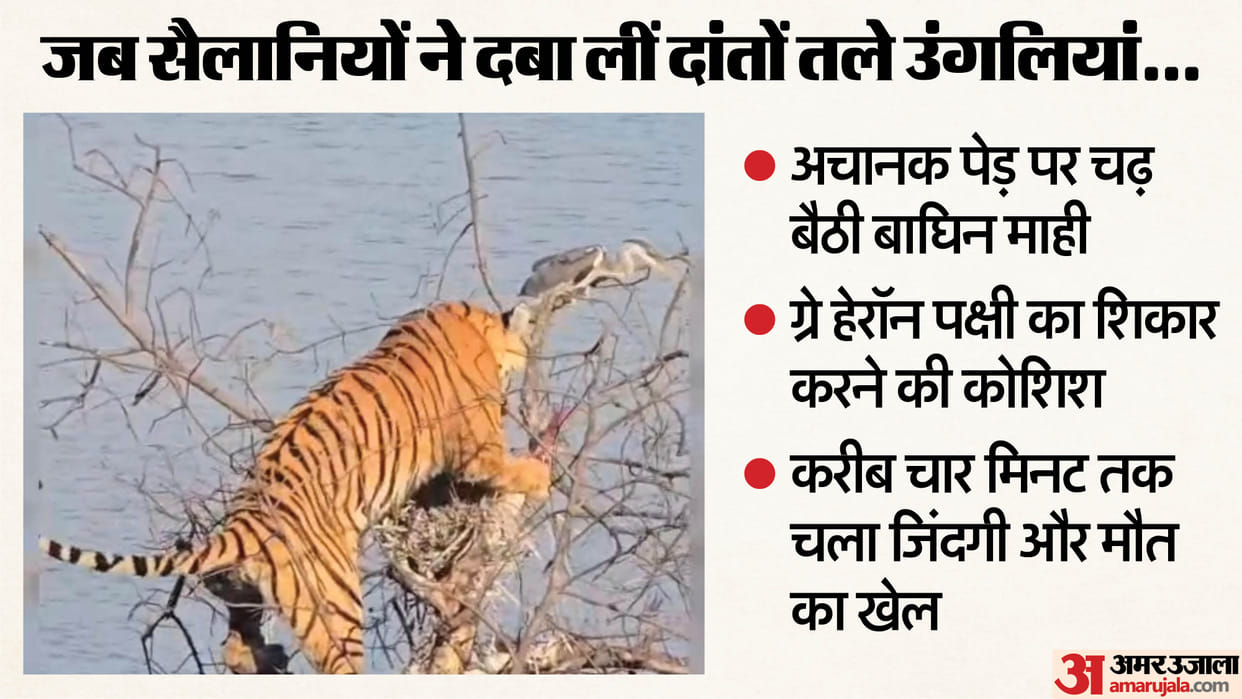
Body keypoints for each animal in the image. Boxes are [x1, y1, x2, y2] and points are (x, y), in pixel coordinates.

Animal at [37, 300, 553, 674]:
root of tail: (242, 522)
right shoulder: (478, 450)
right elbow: (504, 467)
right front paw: (541, 474)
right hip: (336, 606)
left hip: (242, 590)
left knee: (235, 647)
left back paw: (268, 657)